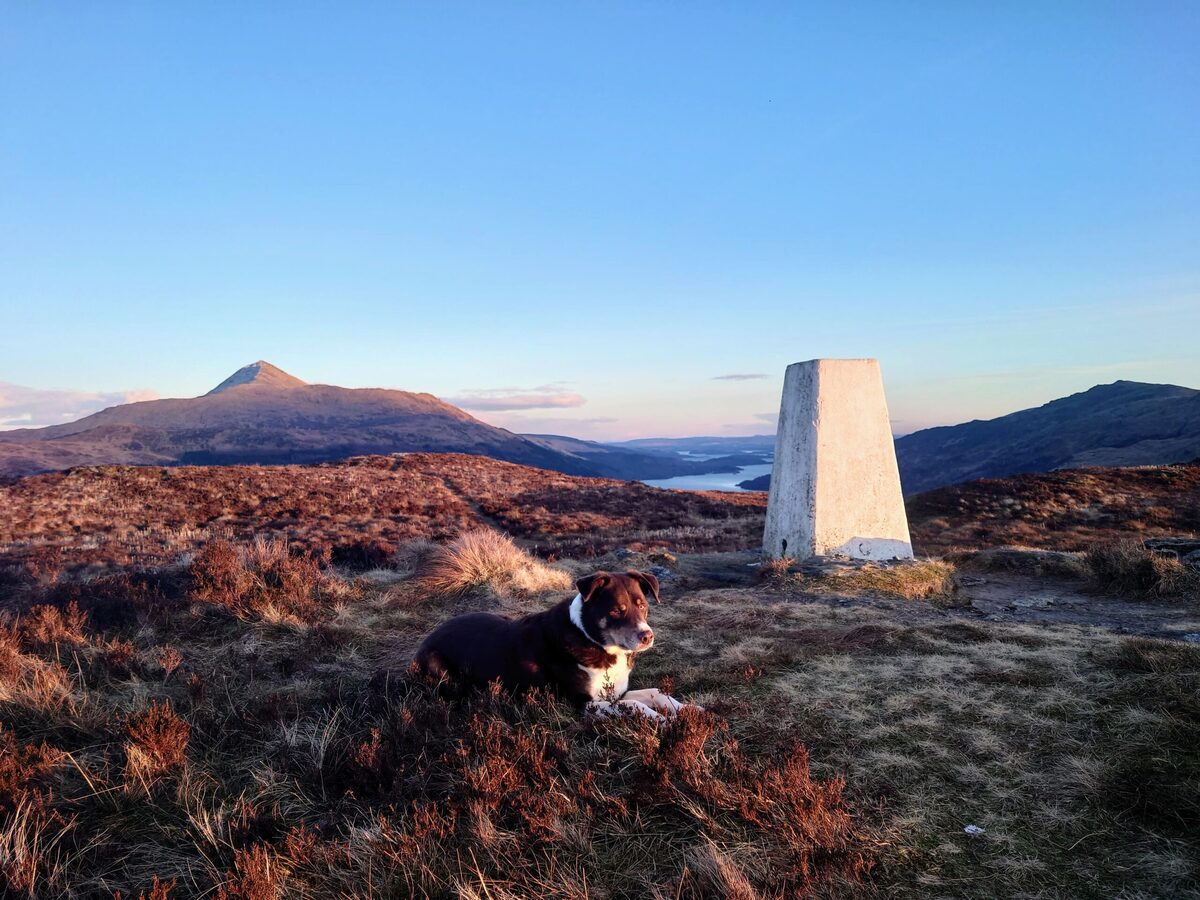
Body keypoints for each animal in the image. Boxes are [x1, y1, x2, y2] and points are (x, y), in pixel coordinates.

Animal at [417, 571, 691, 720]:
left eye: (642, 605)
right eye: (616, 610)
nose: (647, 636)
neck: (592, 641)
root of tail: (432, 633)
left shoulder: (615, 692)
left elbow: (655, 692)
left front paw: (688, 710)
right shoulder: (580, 703)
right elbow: (634, 705)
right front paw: (662, 720)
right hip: (439, 667)